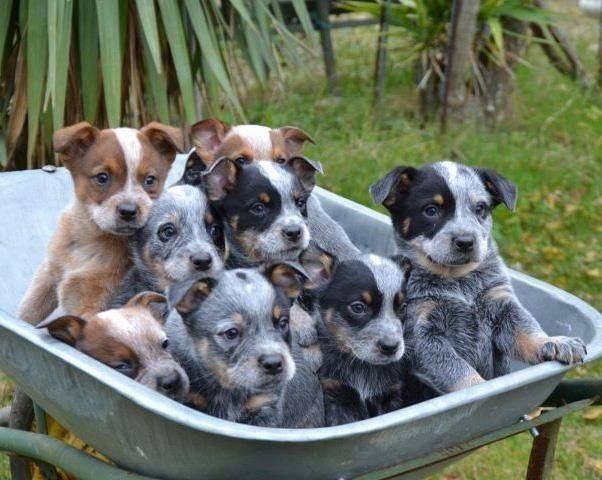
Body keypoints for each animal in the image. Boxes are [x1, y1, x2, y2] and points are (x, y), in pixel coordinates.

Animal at [18, 122, 183, 324]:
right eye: (102, 177)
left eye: (150, 180)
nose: (128, 211)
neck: (90, 240)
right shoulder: (48, 274)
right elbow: (27, 312)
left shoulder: (93, 306)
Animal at [164, 264, 324, 426]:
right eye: (231, 332)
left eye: (283, 323)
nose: (274, 363)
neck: (227, 388)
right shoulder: (191, 397)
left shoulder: (264, 406)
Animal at [368, 161, 584, 398]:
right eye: (431, 210)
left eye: (480, 208)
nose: (465, 241)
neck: (459, 282)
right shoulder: (422, 333)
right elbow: (458, 370)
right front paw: (480, 389)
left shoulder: (501, 304)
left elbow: (525, 329)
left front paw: (553, 342)